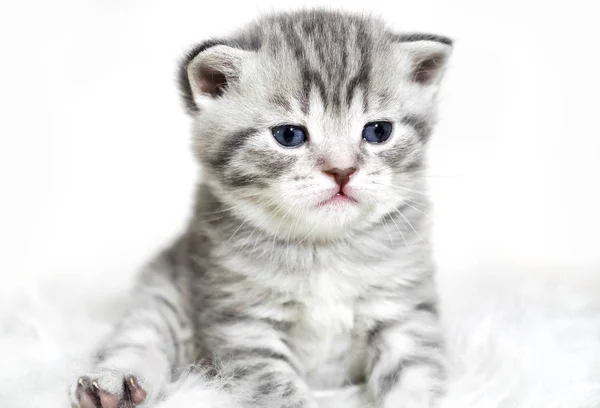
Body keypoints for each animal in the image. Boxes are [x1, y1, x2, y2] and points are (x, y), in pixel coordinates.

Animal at [69, 8, 450, 408]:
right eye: (289, 135)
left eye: (378, 131)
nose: (342, 170)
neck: (323, 248)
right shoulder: (243, 325)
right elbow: (278, 388)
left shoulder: (404, 310)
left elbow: (413, 374)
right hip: (168, 289)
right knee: (141, 335)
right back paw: (114, 384)